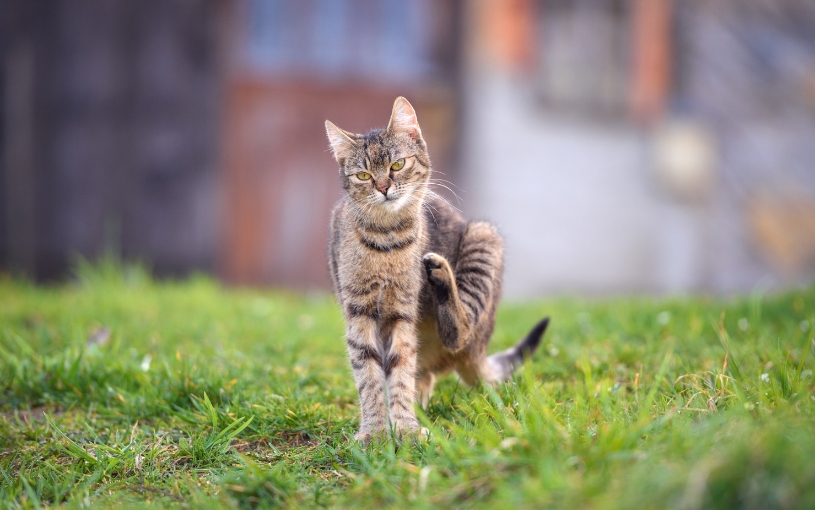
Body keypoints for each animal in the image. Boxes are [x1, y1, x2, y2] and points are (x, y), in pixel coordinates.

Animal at [324, 96, 548, 442]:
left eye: (397, 165)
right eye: (363, 176)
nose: (383, 187)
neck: (386, 238)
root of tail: (479, 352)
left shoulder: (401, 312)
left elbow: (401, 371)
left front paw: (404, 429)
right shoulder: (359, 312)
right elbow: (369, 376)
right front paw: (375, 432)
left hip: (484, 236)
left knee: (458, 332)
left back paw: (441, 274)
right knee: (426, 374)